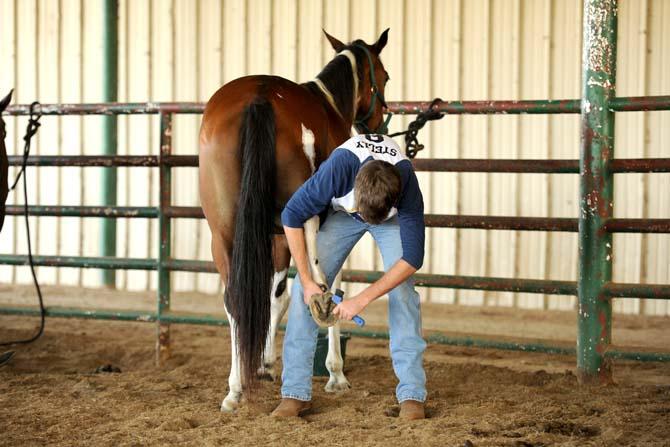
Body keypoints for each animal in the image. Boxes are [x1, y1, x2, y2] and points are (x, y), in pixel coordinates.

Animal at [197, 29, 392, 412]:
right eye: (385, 76)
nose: (377, 124)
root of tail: (258, 97)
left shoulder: (273, 236)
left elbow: (274, 296)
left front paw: (263, 365)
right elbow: (327, 285)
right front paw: (336, 375)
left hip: (222, 231)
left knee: (235, 299)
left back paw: (234, 391)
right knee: (316, 285)